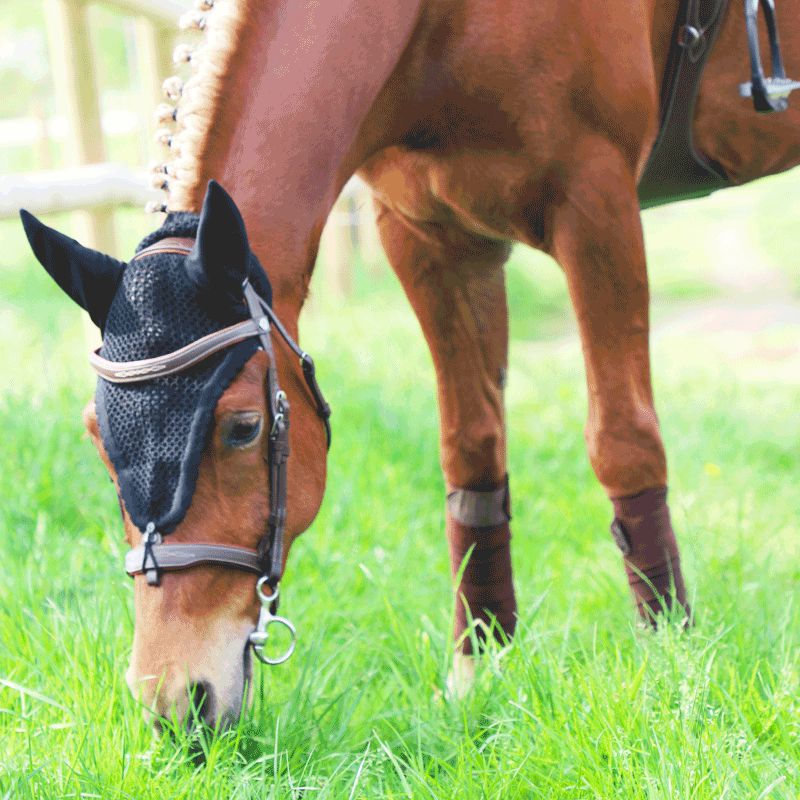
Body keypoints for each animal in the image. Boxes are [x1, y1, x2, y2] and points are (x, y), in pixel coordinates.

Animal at [21, 0, 796, 732]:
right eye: (96, 437)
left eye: (242, 428)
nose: (175, 704)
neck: (438, 21)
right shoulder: (430, 236)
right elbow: (471, 449)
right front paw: (480, 668)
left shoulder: (596, 203)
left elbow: (623, 441)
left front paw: (672, 655)